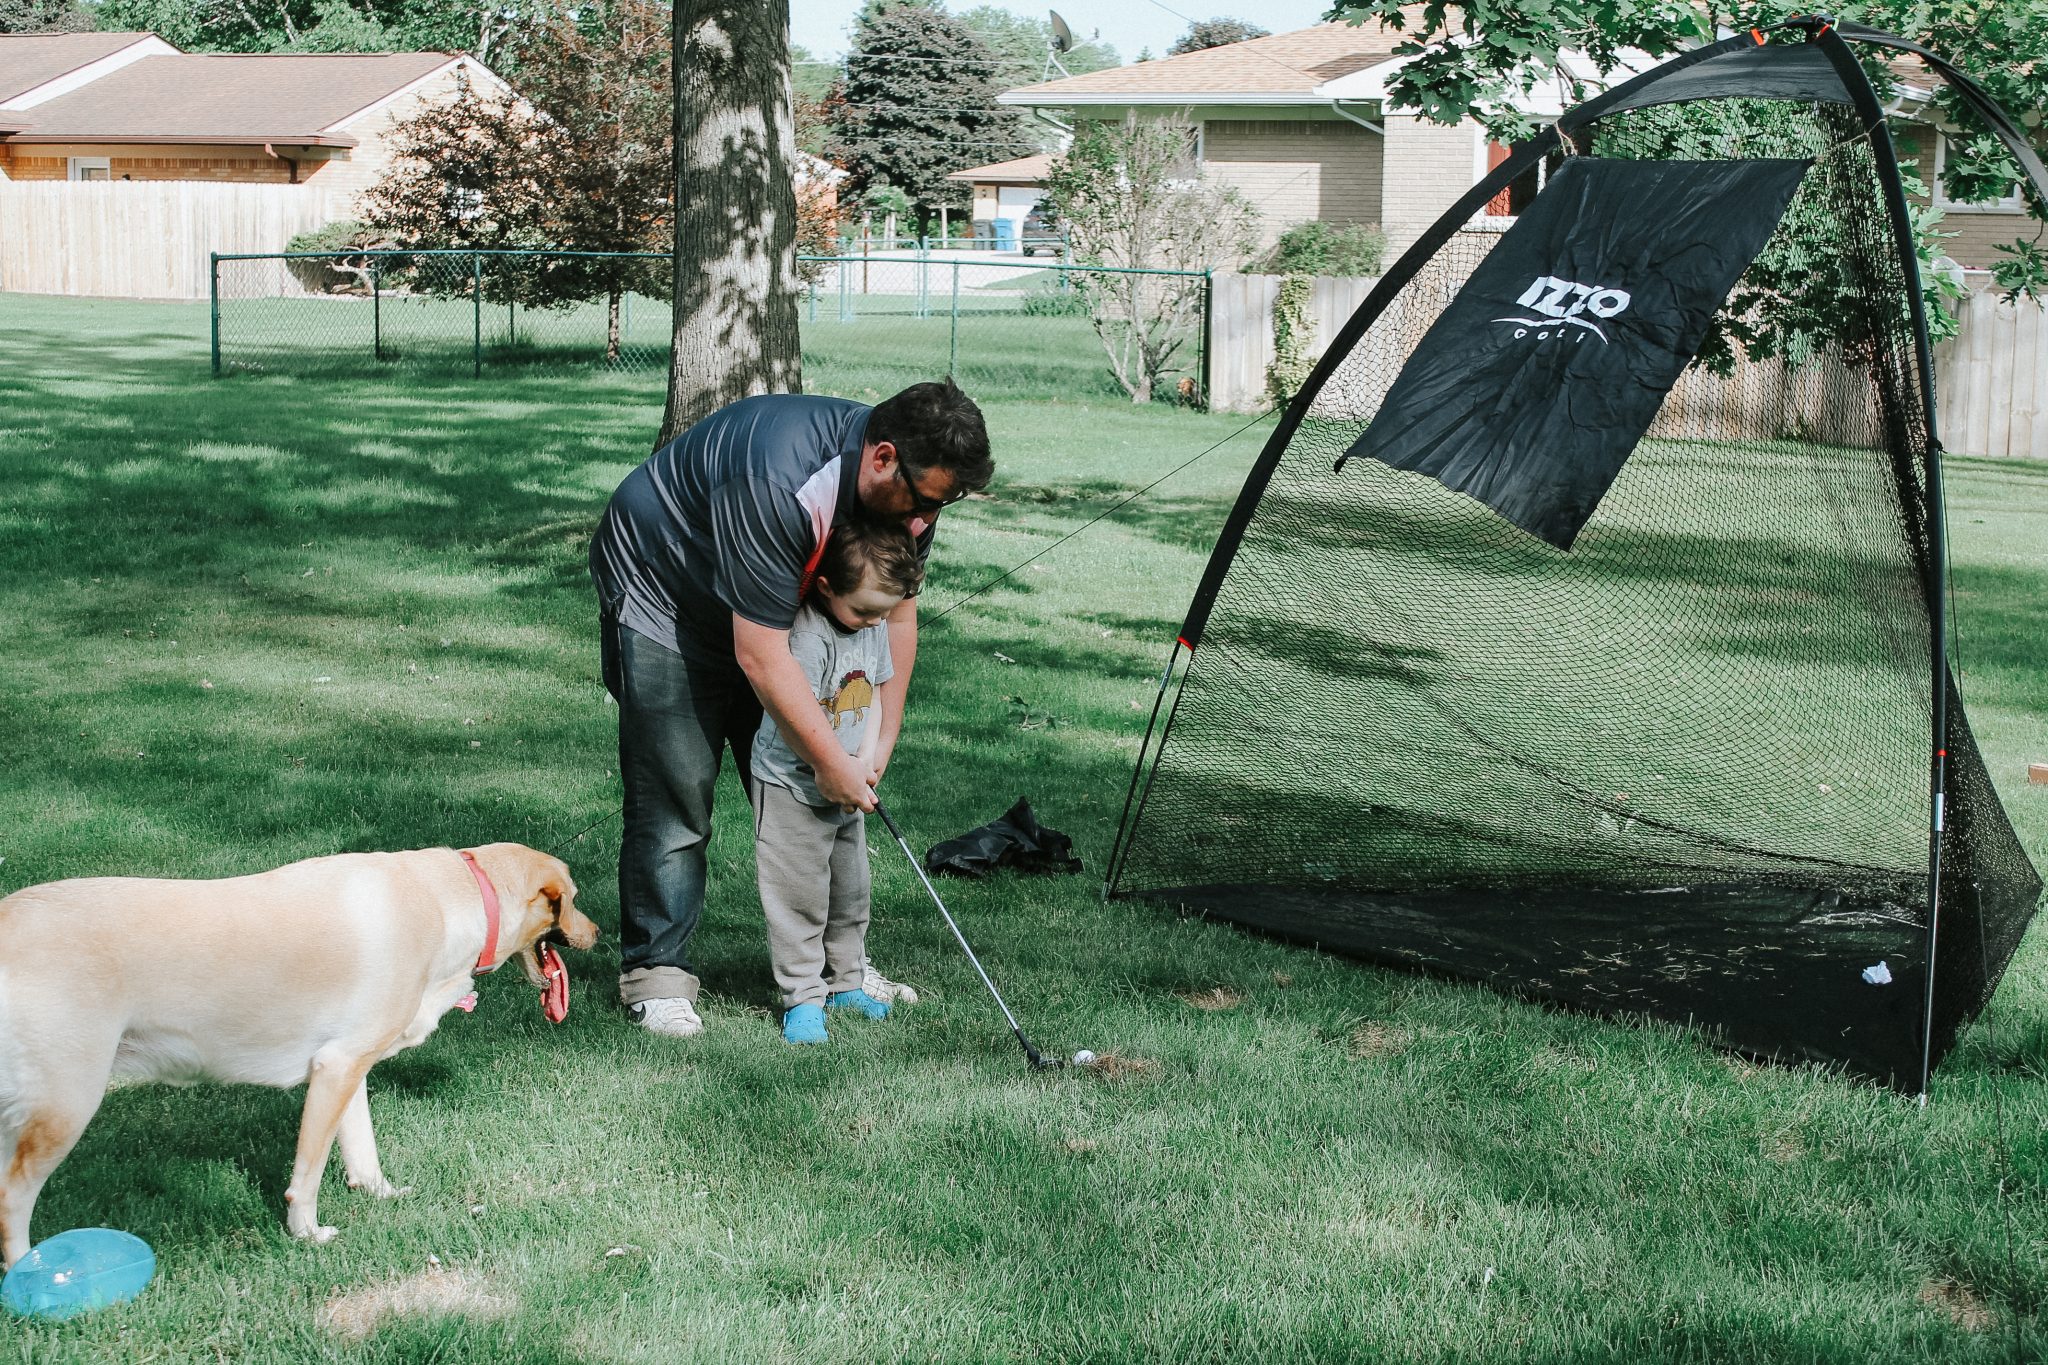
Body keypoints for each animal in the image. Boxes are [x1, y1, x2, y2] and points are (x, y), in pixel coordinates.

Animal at [0, 843, 598, 1268]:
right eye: (573, 898)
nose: (596, 933)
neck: (457, 897)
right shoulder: (335, 1071)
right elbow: (307, 1174)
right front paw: (306, 1234)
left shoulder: (347, 1066)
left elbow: (362, 1148)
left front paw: (379, 1193)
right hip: (65, 1106)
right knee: (12, 1200)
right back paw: (30, 1271)